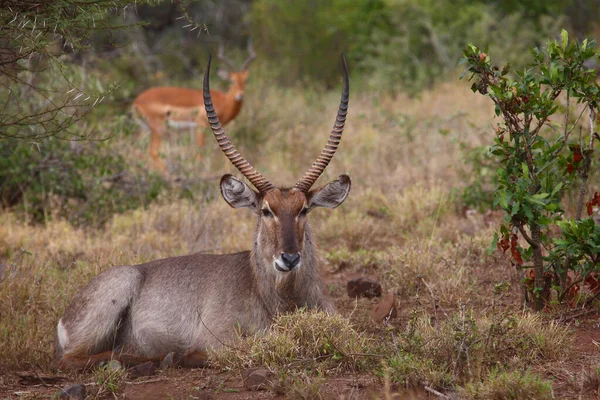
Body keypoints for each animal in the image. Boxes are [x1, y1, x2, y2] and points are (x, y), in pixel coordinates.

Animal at [56, 54, 352, 370]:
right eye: (266, 210)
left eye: (304, 209)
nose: (289, 258)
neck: (279, 298)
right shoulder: (218, 340)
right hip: (117, 292)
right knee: (72, 359)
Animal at [131, 41, 255, 171]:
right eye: (232, 81)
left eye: (245, 80)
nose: (240, 95)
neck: (223, 100)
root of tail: (137, 101)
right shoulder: (201, 126)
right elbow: (199, 154)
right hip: (158, 129)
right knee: (153, 152)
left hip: (145, 129)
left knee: (137, 150)